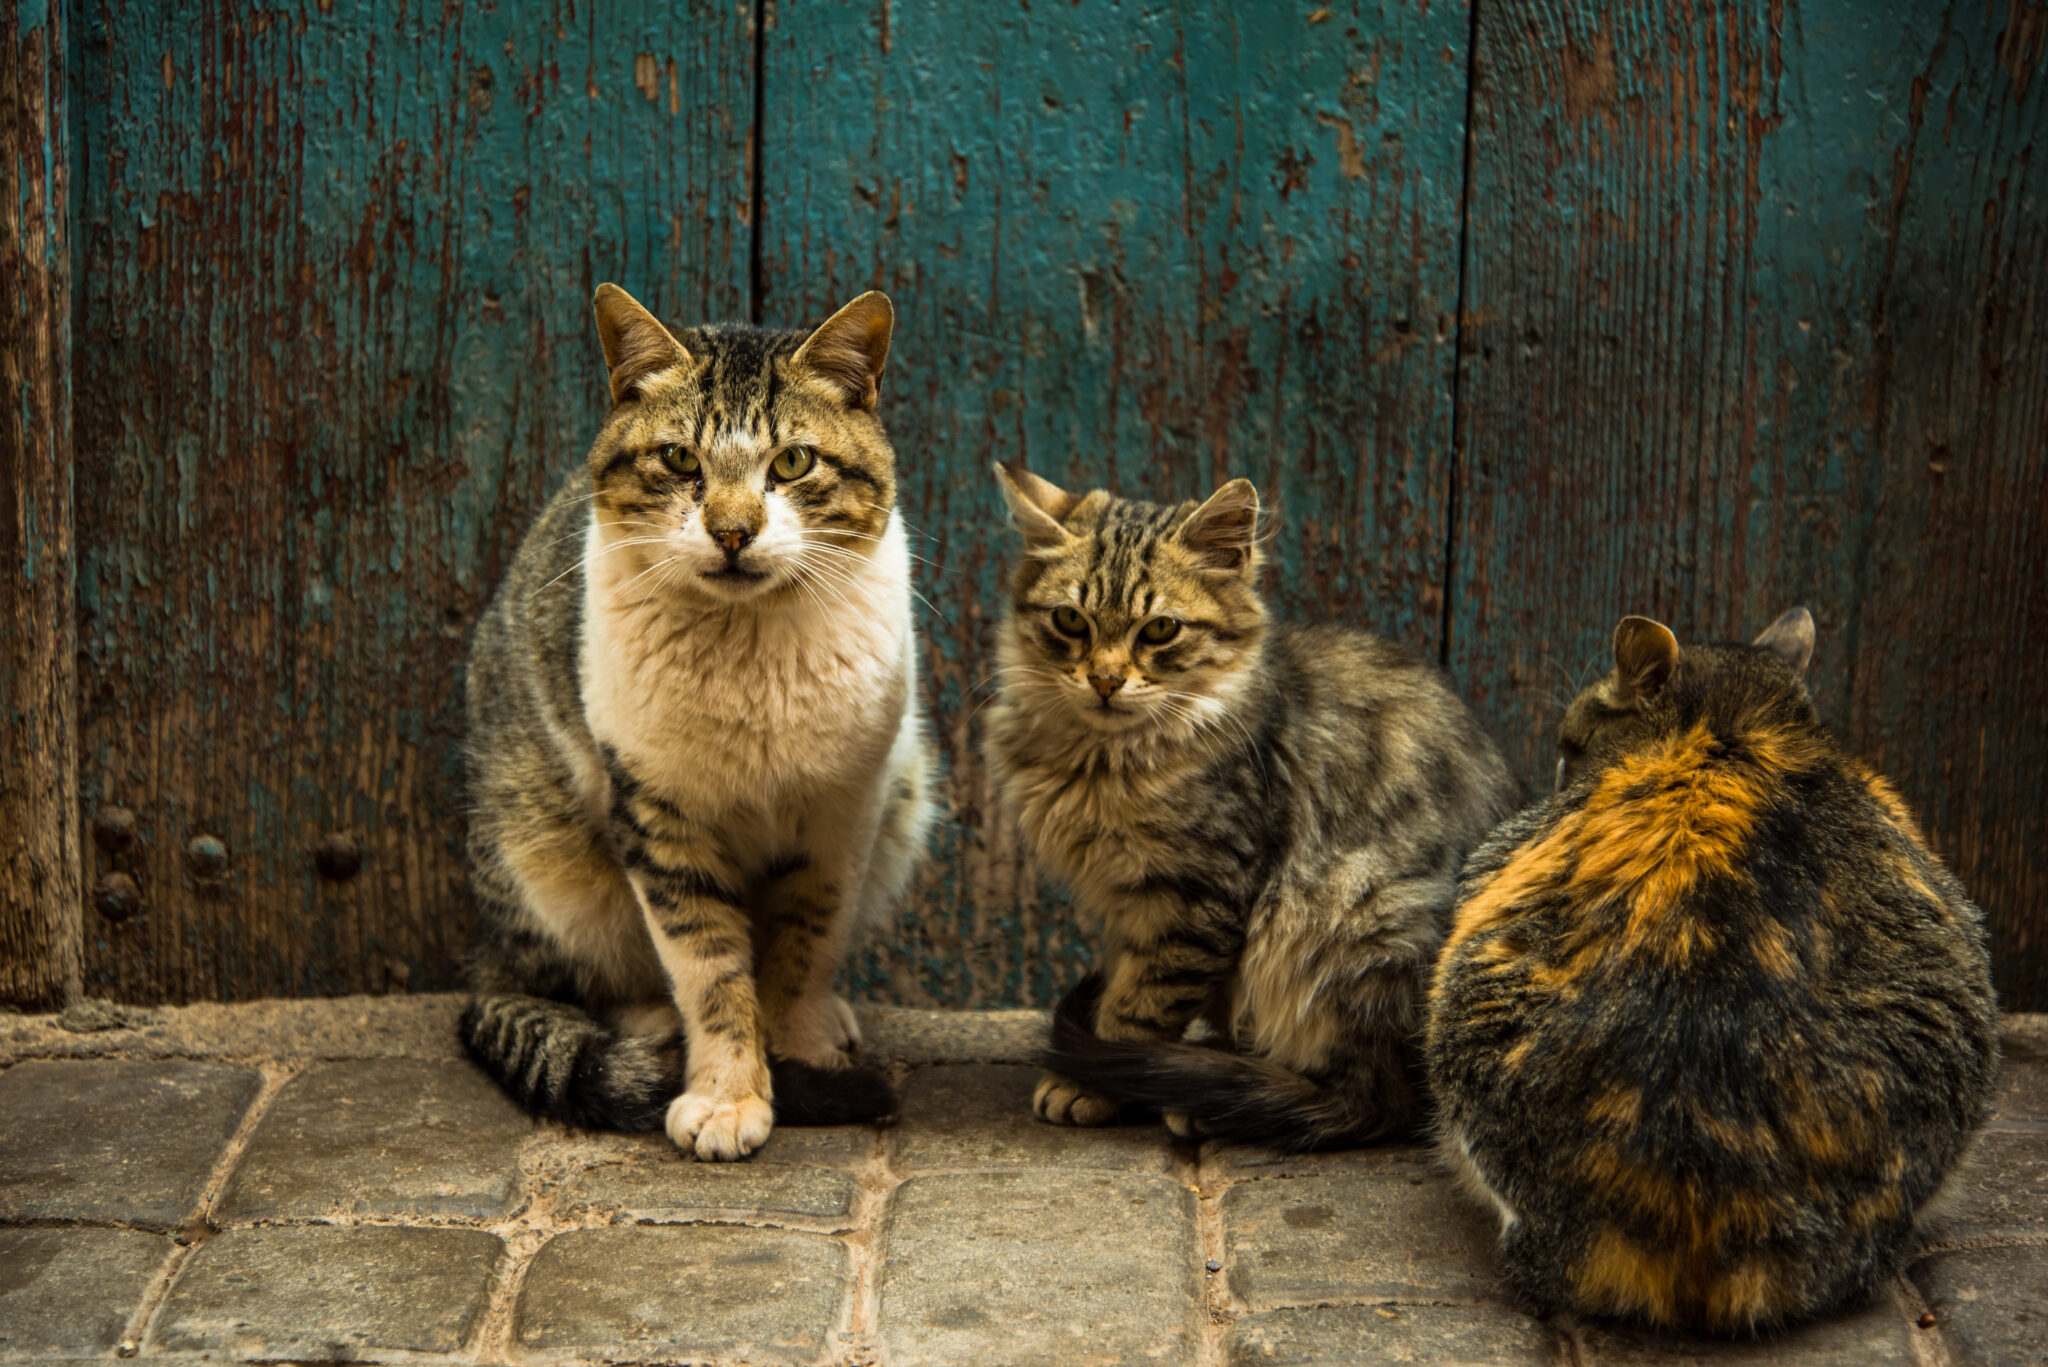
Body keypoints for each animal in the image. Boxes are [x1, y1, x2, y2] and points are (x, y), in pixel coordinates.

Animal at [460, 282, 933, 1164]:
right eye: (681, 460)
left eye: (793, 462)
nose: (733, 529)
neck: (749, 652)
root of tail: (483, 955)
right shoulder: (657, 813)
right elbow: (708, 965)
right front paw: (728, 1093)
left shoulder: (844, 811)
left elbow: (803, 945)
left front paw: (794, 1046)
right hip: (544, 855)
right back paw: (651, 1029)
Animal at [991, 465, 1523, 1147]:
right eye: (1070, 622)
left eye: (1159, 629)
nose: (1105, 681)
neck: (1100, 761)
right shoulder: (1125, 906)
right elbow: (1123, 986)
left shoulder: (1198, 893)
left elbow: (1138, 1007)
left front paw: (1093, 1084)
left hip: (1350, 913)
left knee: (1366, 1102)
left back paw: (1212, 1101)